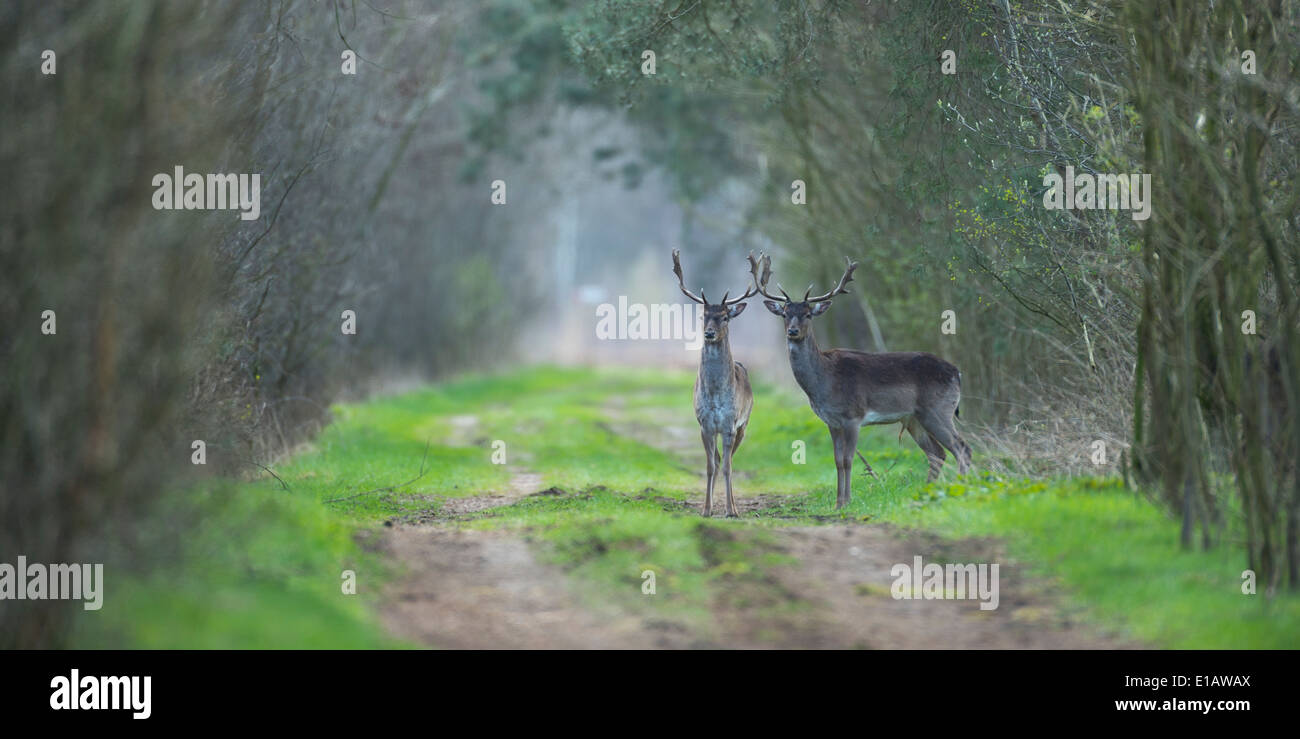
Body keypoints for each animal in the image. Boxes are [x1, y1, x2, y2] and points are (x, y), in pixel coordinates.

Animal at [670, 248, 759, 512]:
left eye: (725, 317)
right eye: (704, 316)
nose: (709, 333)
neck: (716, 394)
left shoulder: (730, 424)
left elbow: (729, 467)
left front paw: (731, 510)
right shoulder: (705, 425)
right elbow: (710, 466)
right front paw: (706, 508)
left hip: (744, 425)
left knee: (730, 460)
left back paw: (734, 507)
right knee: (719, 460)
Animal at [748, 253, 972, 507]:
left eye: (808, 314)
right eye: (785, 314)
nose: (793, 331)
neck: (823, 383)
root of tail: (957, 372)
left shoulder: (853, 416)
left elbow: (847, 459)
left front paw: (846, 501)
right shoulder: (831, 421)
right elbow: (837, 460)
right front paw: (838, 503)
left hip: (938, 408)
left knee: (961, 448)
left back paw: (962, 489)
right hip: (914, 418)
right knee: (937, 453)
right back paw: (928, 492)